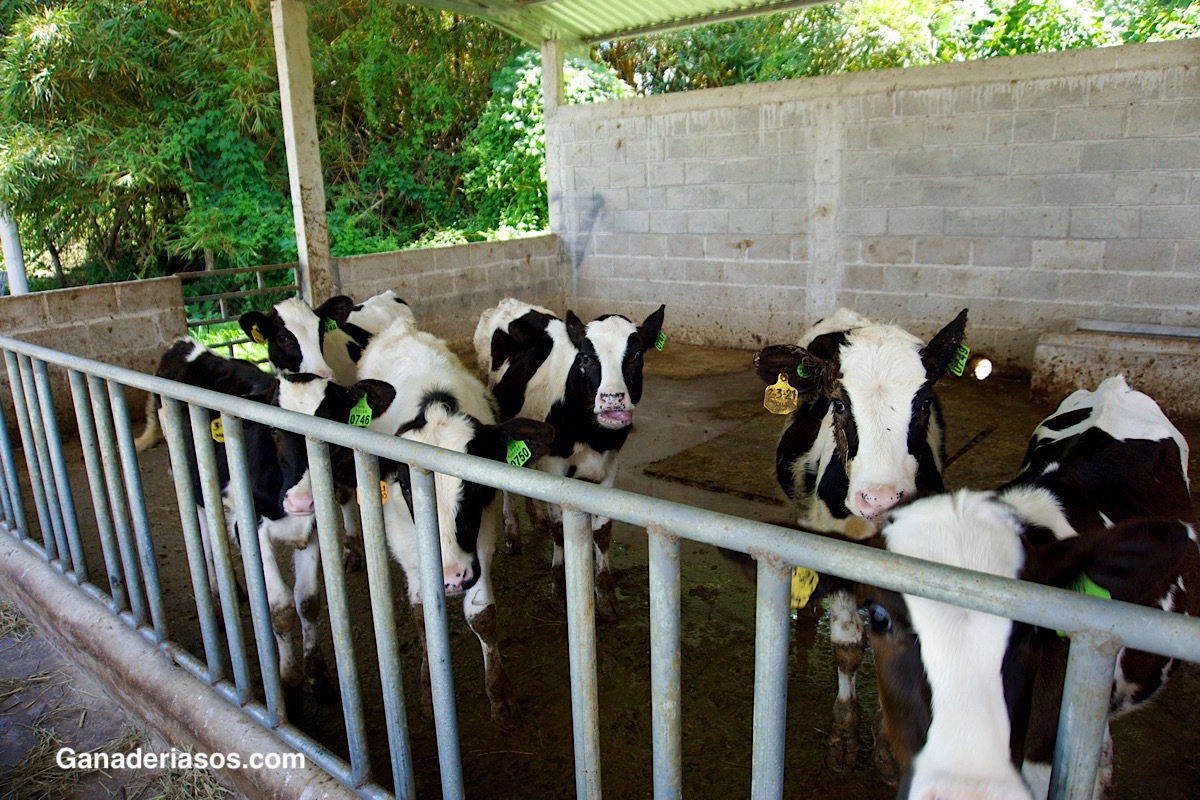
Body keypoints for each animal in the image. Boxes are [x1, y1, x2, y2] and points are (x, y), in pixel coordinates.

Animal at [282, 316, 556, 724]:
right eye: (409, 489)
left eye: (475, 487)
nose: (452, 576)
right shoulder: (406, 540)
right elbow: (422, 614)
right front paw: (431, 693)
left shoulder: (479, 537)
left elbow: (483, 616)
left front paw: (500, 693)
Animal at [475, 297, 667, 623]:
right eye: (586, 358)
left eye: (637, 354)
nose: (612, 400)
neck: (592, 435)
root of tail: (508, 302)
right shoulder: (555, 465)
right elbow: (560, 531)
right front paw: (559, 589)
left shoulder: (609, 464)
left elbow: (603, 532)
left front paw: (606, 597)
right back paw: (512, 531)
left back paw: (535, 515)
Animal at [753, 307, 969, 767]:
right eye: (838, 402)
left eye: (925, 402)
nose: (880, 498)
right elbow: (849, 648)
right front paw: (845, 733)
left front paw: (887, 741)